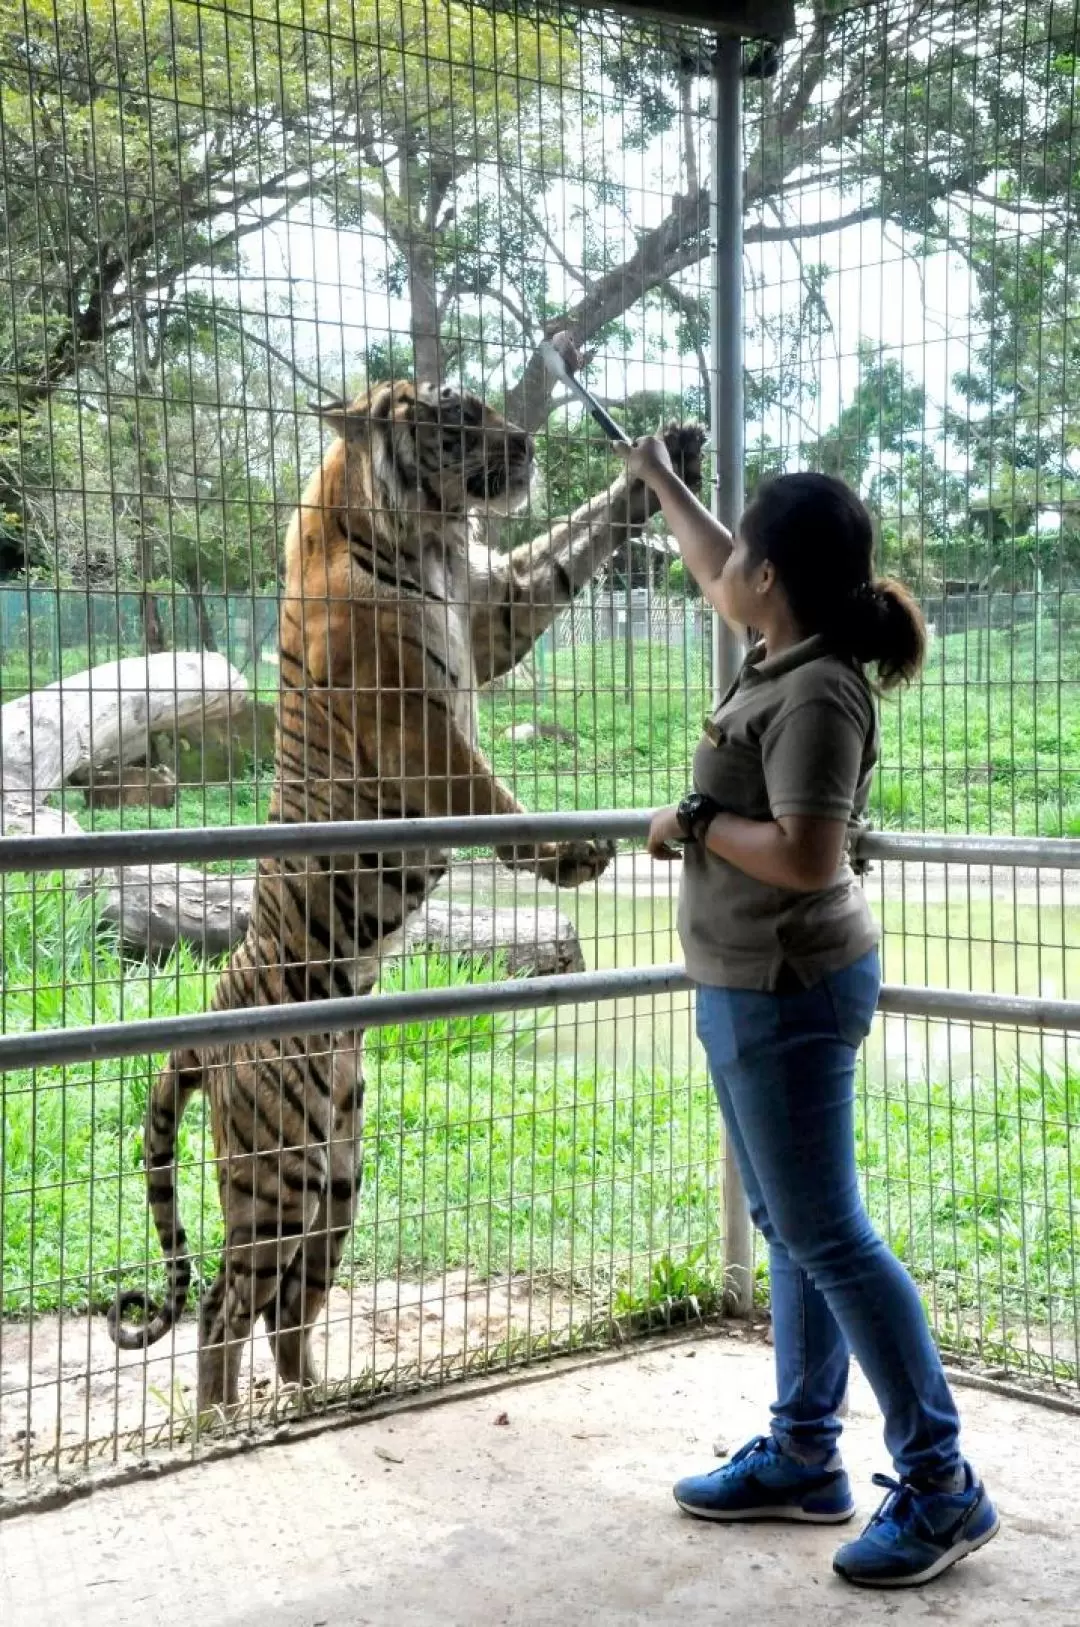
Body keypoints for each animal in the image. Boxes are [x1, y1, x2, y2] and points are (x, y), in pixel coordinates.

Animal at [105, 377, 705, 1412]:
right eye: (458, 415)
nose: (526, 441)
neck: (426, 532)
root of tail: (210, 1012)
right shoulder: (415, 727)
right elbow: (489, 795)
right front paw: (572, 850)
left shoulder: (497, 607)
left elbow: (566, 551)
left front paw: (666, 456)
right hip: (278, 1167)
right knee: (225, 1303)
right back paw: (226, 1423)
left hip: (339, 1170)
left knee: (288, 1306)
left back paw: (316, 1395)